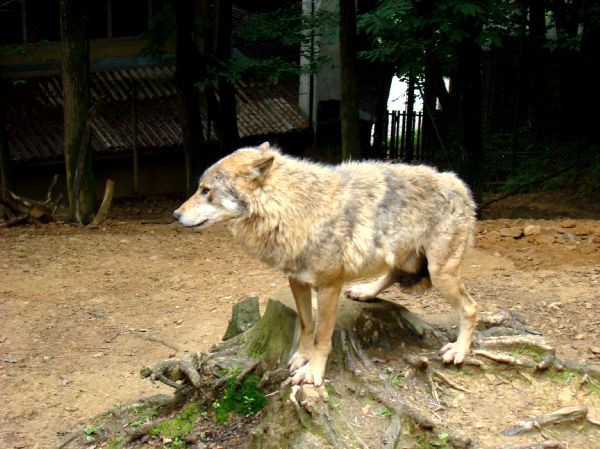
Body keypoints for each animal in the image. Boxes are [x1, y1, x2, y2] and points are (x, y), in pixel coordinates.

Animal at [173, 143, 478, 384]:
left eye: (205, 190)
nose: (175, 214)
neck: (291, 208)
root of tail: (458, 184)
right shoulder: (296, 280)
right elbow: (307, 326)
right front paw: (301, 357)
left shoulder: (329, 286)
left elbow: (322, 336)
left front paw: (313, 372)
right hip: (401, 256)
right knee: (391, 274)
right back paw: (365, 291)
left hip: (440, 273)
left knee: (471, 308)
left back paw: (459, 350)